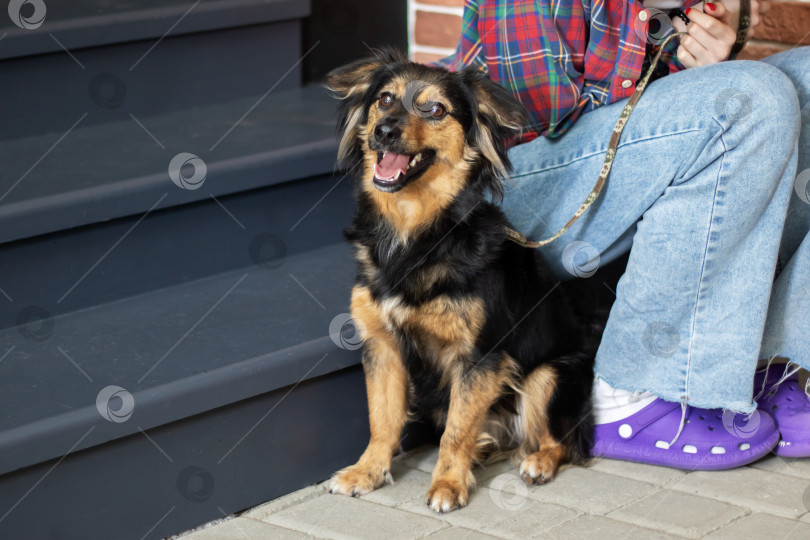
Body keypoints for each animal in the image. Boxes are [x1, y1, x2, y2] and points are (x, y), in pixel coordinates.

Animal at [326, 51, 604, 516]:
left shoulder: (480, 357)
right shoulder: (382, 344)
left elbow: (456, 430)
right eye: (384, 100)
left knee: (565, 442)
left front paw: (447, 485)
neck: (415, 235)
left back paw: (538, 462)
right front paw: (368, 471)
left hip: (547, 376)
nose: (384, 132)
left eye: (435, 110)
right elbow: (382, 417)